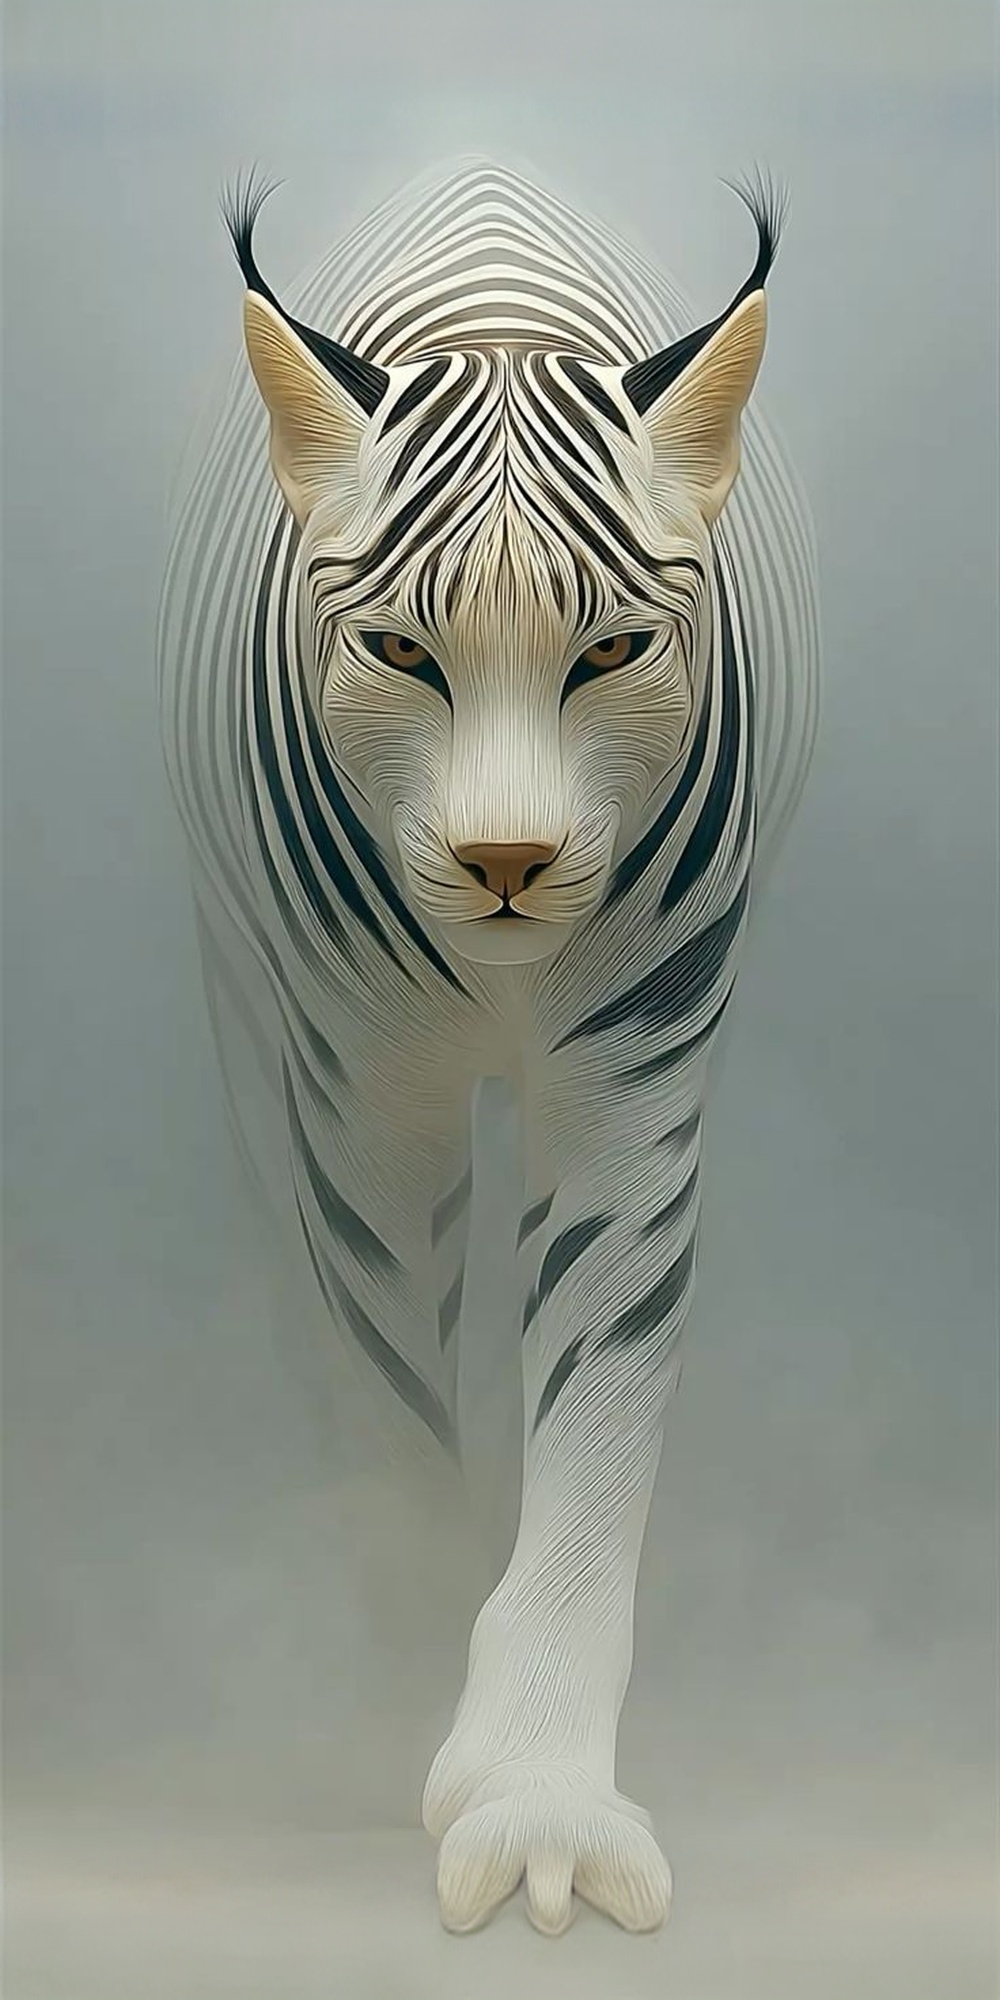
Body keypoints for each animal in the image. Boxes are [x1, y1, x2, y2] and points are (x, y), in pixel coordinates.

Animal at [157, 156, 820, 1937]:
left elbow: (593, 1425)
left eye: (610, 653)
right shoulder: (364, 1114)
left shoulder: (631, 1090)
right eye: (402, 652)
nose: (507, 862)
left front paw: (538, 1803)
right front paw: (415, 1668)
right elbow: (395, 1406)